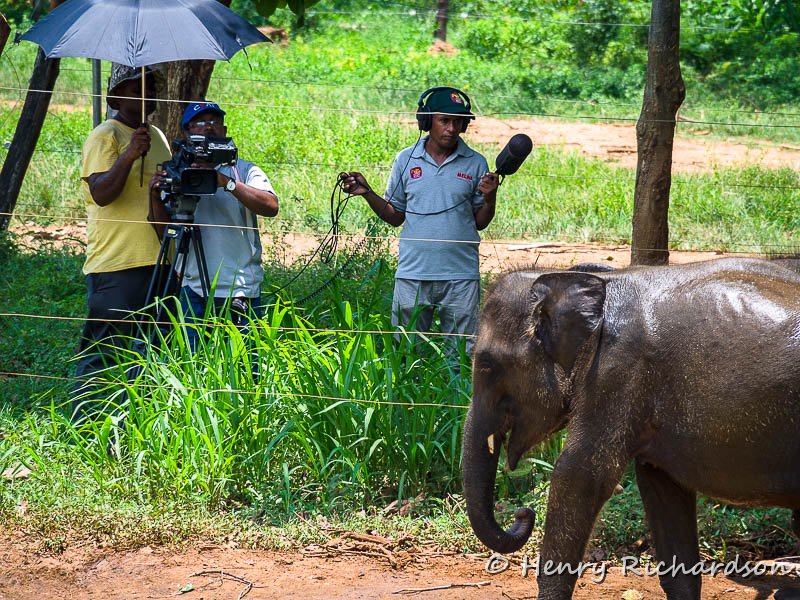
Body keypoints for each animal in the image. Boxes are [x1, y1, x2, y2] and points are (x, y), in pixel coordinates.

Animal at [462, 257, 800, 599]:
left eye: (487, 365)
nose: (523, 513)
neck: (592, 280)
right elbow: (661, 488)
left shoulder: (615, 371)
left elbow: (580, 475)